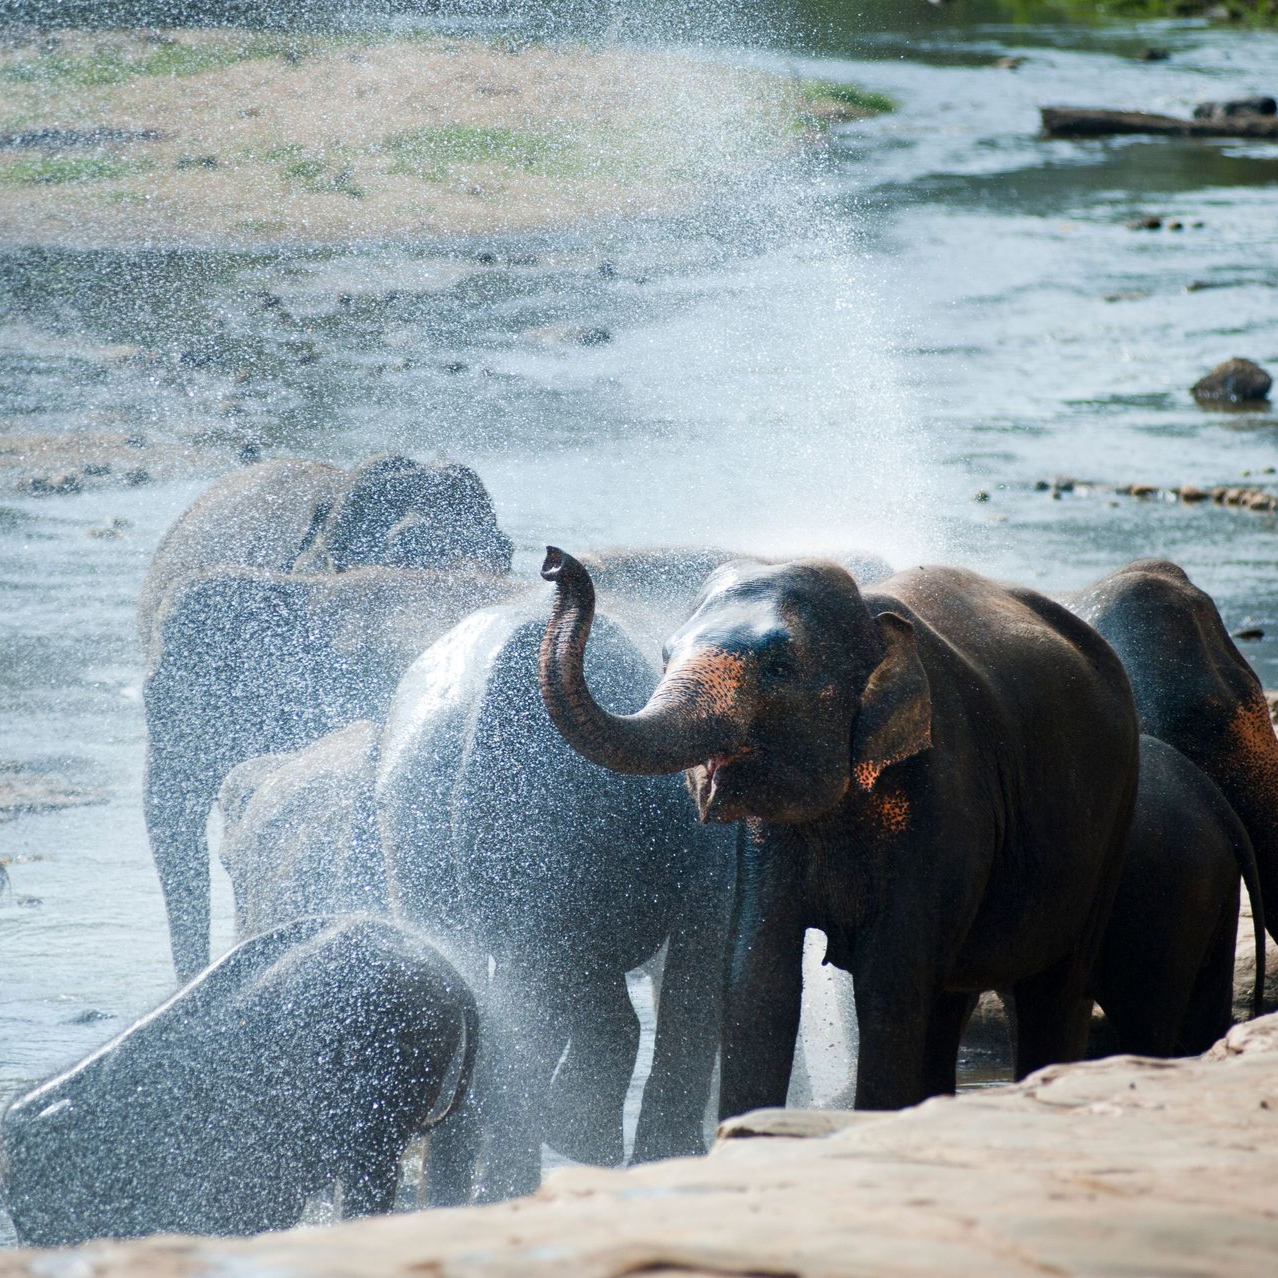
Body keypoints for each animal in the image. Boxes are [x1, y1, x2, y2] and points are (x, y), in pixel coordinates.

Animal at [538, 549, 1139, 1115]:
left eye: (779, 668)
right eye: (664, 656)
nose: (553, 561)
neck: (871, 615)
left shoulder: (944, 797)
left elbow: (889, 981)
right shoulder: (767, 839)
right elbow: (758, 977)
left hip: (1115, 819)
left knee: (1055, 989)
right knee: (951, 1001)